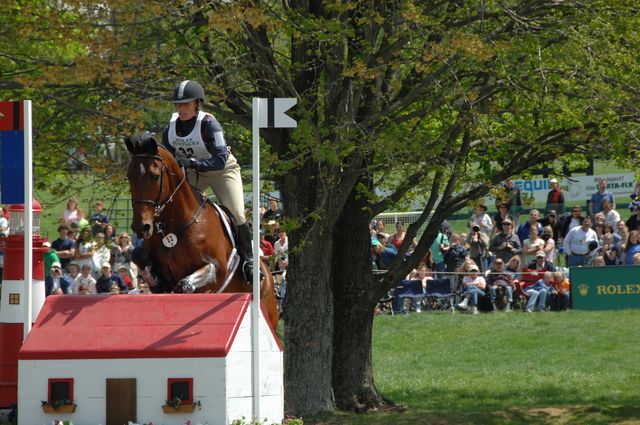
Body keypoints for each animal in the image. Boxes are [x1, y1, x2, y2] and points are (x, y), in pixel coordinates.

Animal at [122, 131, 278, 330]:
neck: (174, 227)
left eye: (155, 176)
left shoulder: (216, 270)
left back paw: (251, 269)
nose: (141, 227)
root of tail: (269, 274)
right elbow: (139, 256)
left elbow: (186, 284)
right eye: (129, 176)